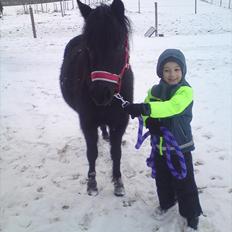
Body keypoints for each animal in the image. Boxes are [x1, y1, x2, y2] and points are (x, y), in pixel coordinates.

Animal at [59, 0, 132, 196]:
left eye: (119, 46)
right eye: (89, 48)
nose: (100, 94)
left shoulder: (120, 122)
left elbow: (116, 152)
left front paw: (118, 182)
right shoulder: (87, 122)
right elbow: (92, 153)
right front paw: (91, 184)